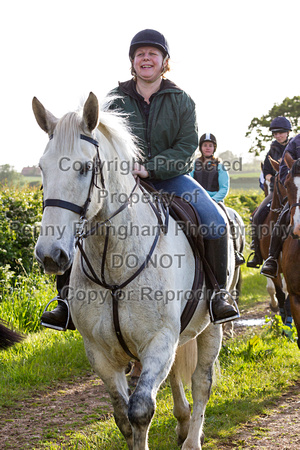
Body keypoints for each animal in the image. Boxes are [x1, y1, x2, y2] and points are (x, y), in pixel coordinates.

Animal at [33, 92, 239, 450]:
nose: (50, 255)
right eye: (43, 167)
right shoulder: (100, 353)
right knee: (177, 374)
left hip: (211, 328)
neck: (113, 265)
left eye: (85, 167)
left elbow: (140, 411)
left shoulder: (158, 342)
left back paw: (193, 439)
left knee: (201, 381)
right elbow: (122, 416)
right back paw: (183, 422)